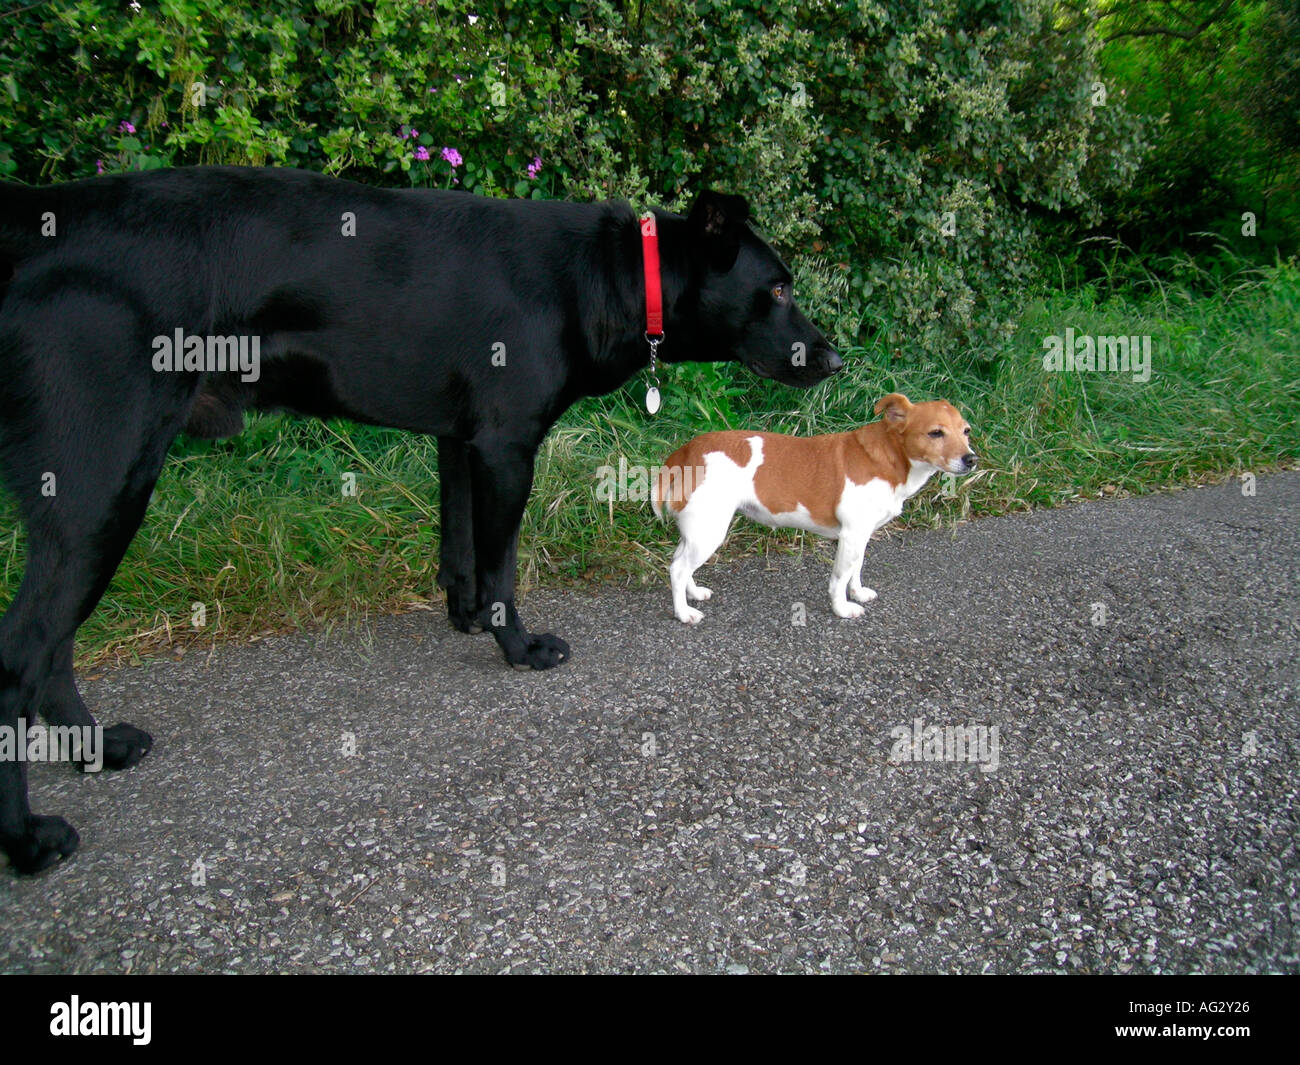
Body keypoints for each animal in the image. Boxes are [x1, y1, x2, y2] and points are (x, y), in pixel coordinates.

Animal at [0, 164, 842, 868]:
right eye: (776, 289)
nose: (834, 360)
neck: (605, 273)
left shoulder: (459, 442)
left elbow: (460, 548)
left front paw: (464, 617)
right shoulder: (506, 444)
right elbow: (502, 564)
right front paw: (518, 647)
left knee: (53, 650)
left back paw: (97, 749)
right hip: (104, 485)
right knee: (22, 656)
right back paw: (28, 840)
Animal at [650, 392, 977, 624]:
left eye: (966, 431)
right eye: (936, 433)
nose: (972, 459)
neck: (890, 456)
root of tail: (686, 451)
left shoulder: (861, 535)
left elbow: (856, 569)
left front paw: (857, 593)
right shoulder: (850, 536)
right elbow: (839, 578)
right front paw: (842, 608)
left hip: (697, 530)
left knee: (679, 563)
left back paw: (693, 593)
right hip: (709, 531)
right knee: (678, 569)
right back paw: (683, 613)